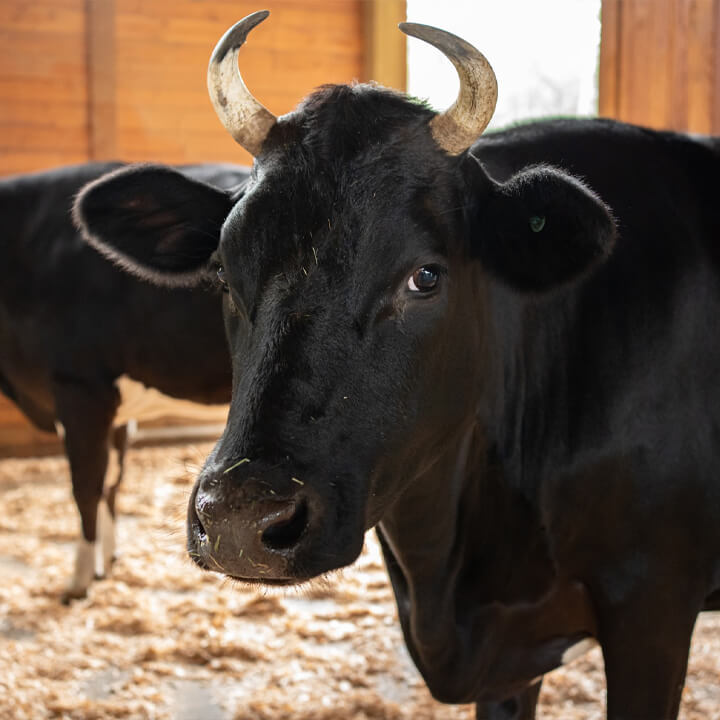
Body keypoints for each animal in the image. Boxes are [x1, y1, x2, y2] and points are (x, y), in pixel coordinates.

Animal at [0, 161, 248, 602]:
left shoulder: (80, 389)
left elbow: (86, 487)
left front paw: (79, 581)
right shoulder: (114, 408)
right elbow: (112, 483)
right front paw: (106, 562)